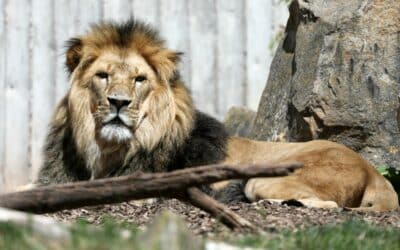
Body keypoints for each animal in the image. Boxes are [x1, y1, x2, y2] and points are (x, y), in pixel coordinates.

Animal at [36, 18, 398, 212]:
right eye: (103, 76)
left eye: (139, 80)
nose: (118, 102)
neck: (110, 151)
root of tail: (374, 175)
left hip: (263, 180)